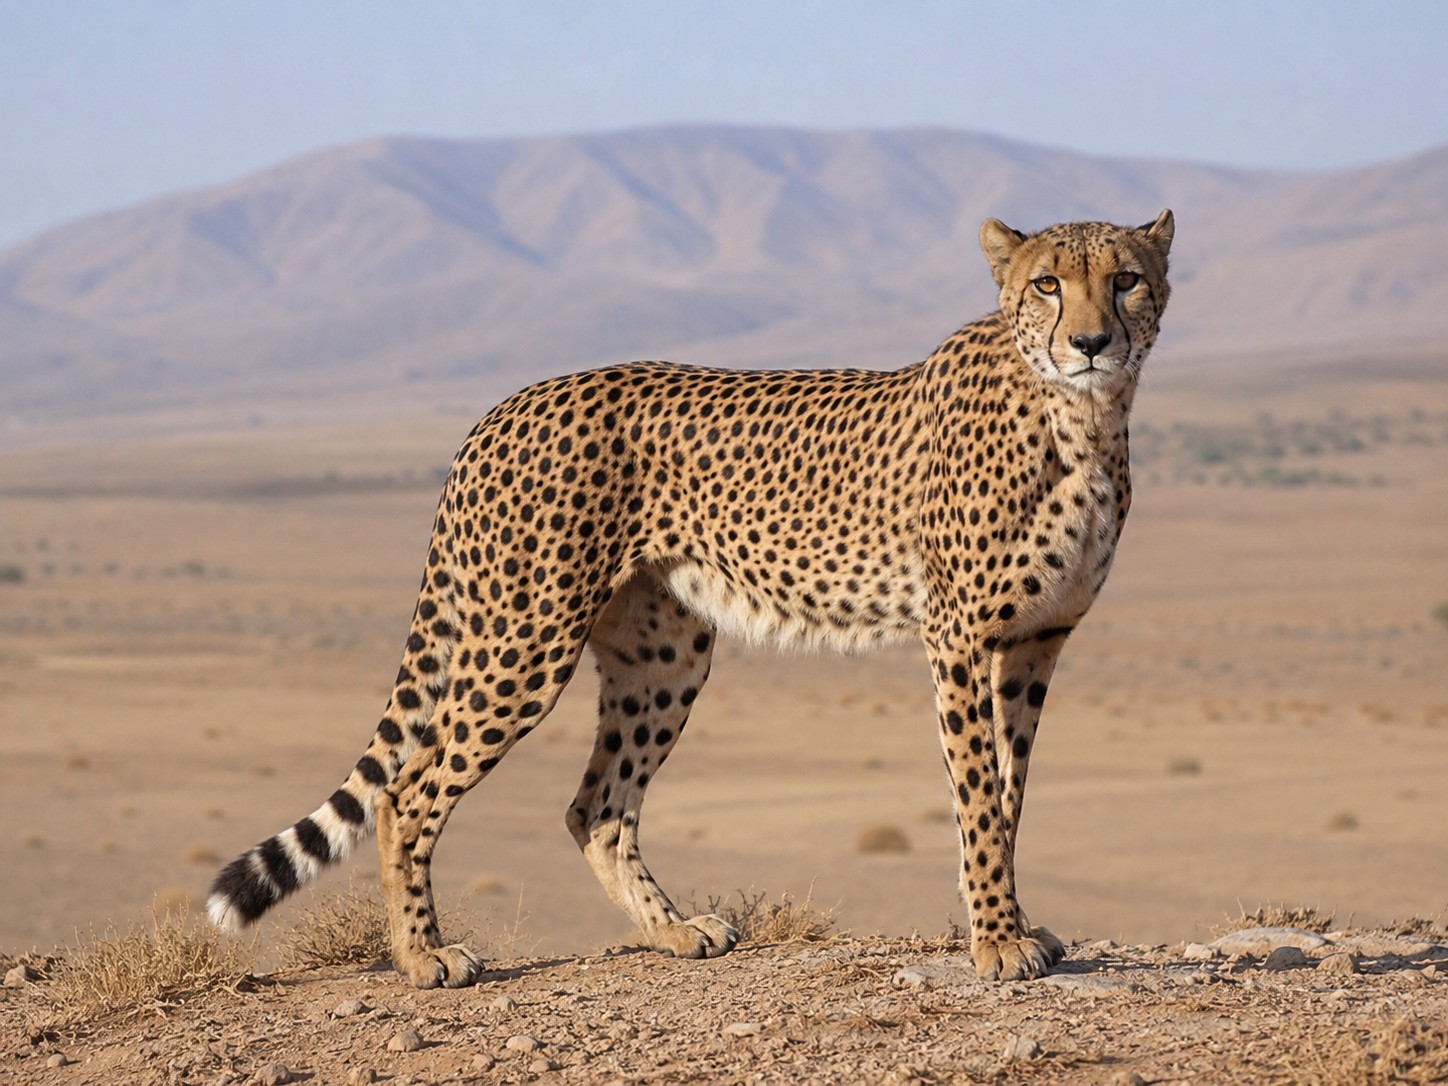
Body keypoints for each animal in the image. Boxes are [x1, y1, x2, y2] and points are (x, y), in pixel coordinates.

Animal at [209, 209, 1174, 988]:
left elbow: (1009, 795)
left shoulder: (1036, 642)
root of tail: (502, 408)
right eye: (1047, 284)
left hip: (664, 654)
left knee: (596, 807)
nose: (1092, 342)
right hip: (526, 637)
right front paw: (997, 944)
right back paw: (423, 957)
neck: (1081, 420)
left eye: (1125, 280)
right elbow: (976, 794)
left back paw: (674, 931)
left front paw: (1016, 924)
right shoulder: (961, 638)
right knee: (407, 792)